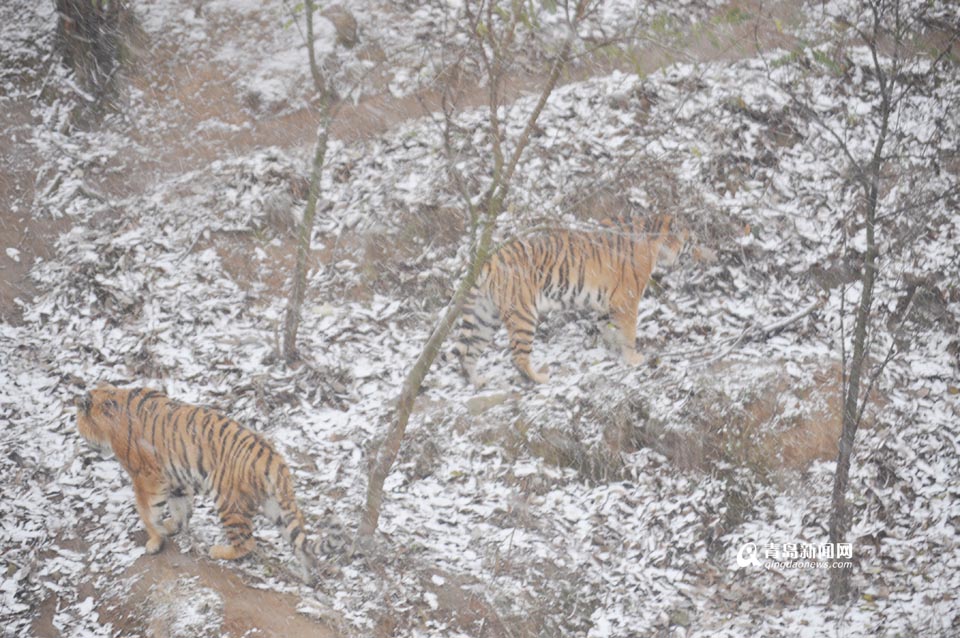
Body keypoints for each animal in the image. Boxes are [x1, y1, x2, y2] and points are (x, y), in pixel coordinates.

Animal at [76, 384, 316, 584]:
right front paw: (173, 526)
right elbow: (179, 507)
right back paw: (306, 576)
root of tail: (272, 457)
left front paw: (155, 540)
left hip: (229, 502)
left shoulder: (146, 477)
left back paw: (218, 551)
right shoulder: (175, 479)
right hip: (276, 507)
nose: (84, 445)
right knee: (298, 540)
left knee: (247, 542)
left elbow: (147, 512)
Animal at [452, 215, 688, 388]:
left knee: (469, 352)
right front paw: (633, 358)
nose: (687, 255)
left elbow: (609, 328)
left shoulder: (606, 304)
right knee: (517, 356)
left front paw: (613, 351)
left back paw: (478, 381)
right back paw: (540, 378)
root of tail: (490, 259)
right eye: (687, 240)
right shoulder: (626, 299)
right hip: (522, 313)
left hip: (485, 315)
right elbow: (629, 332)